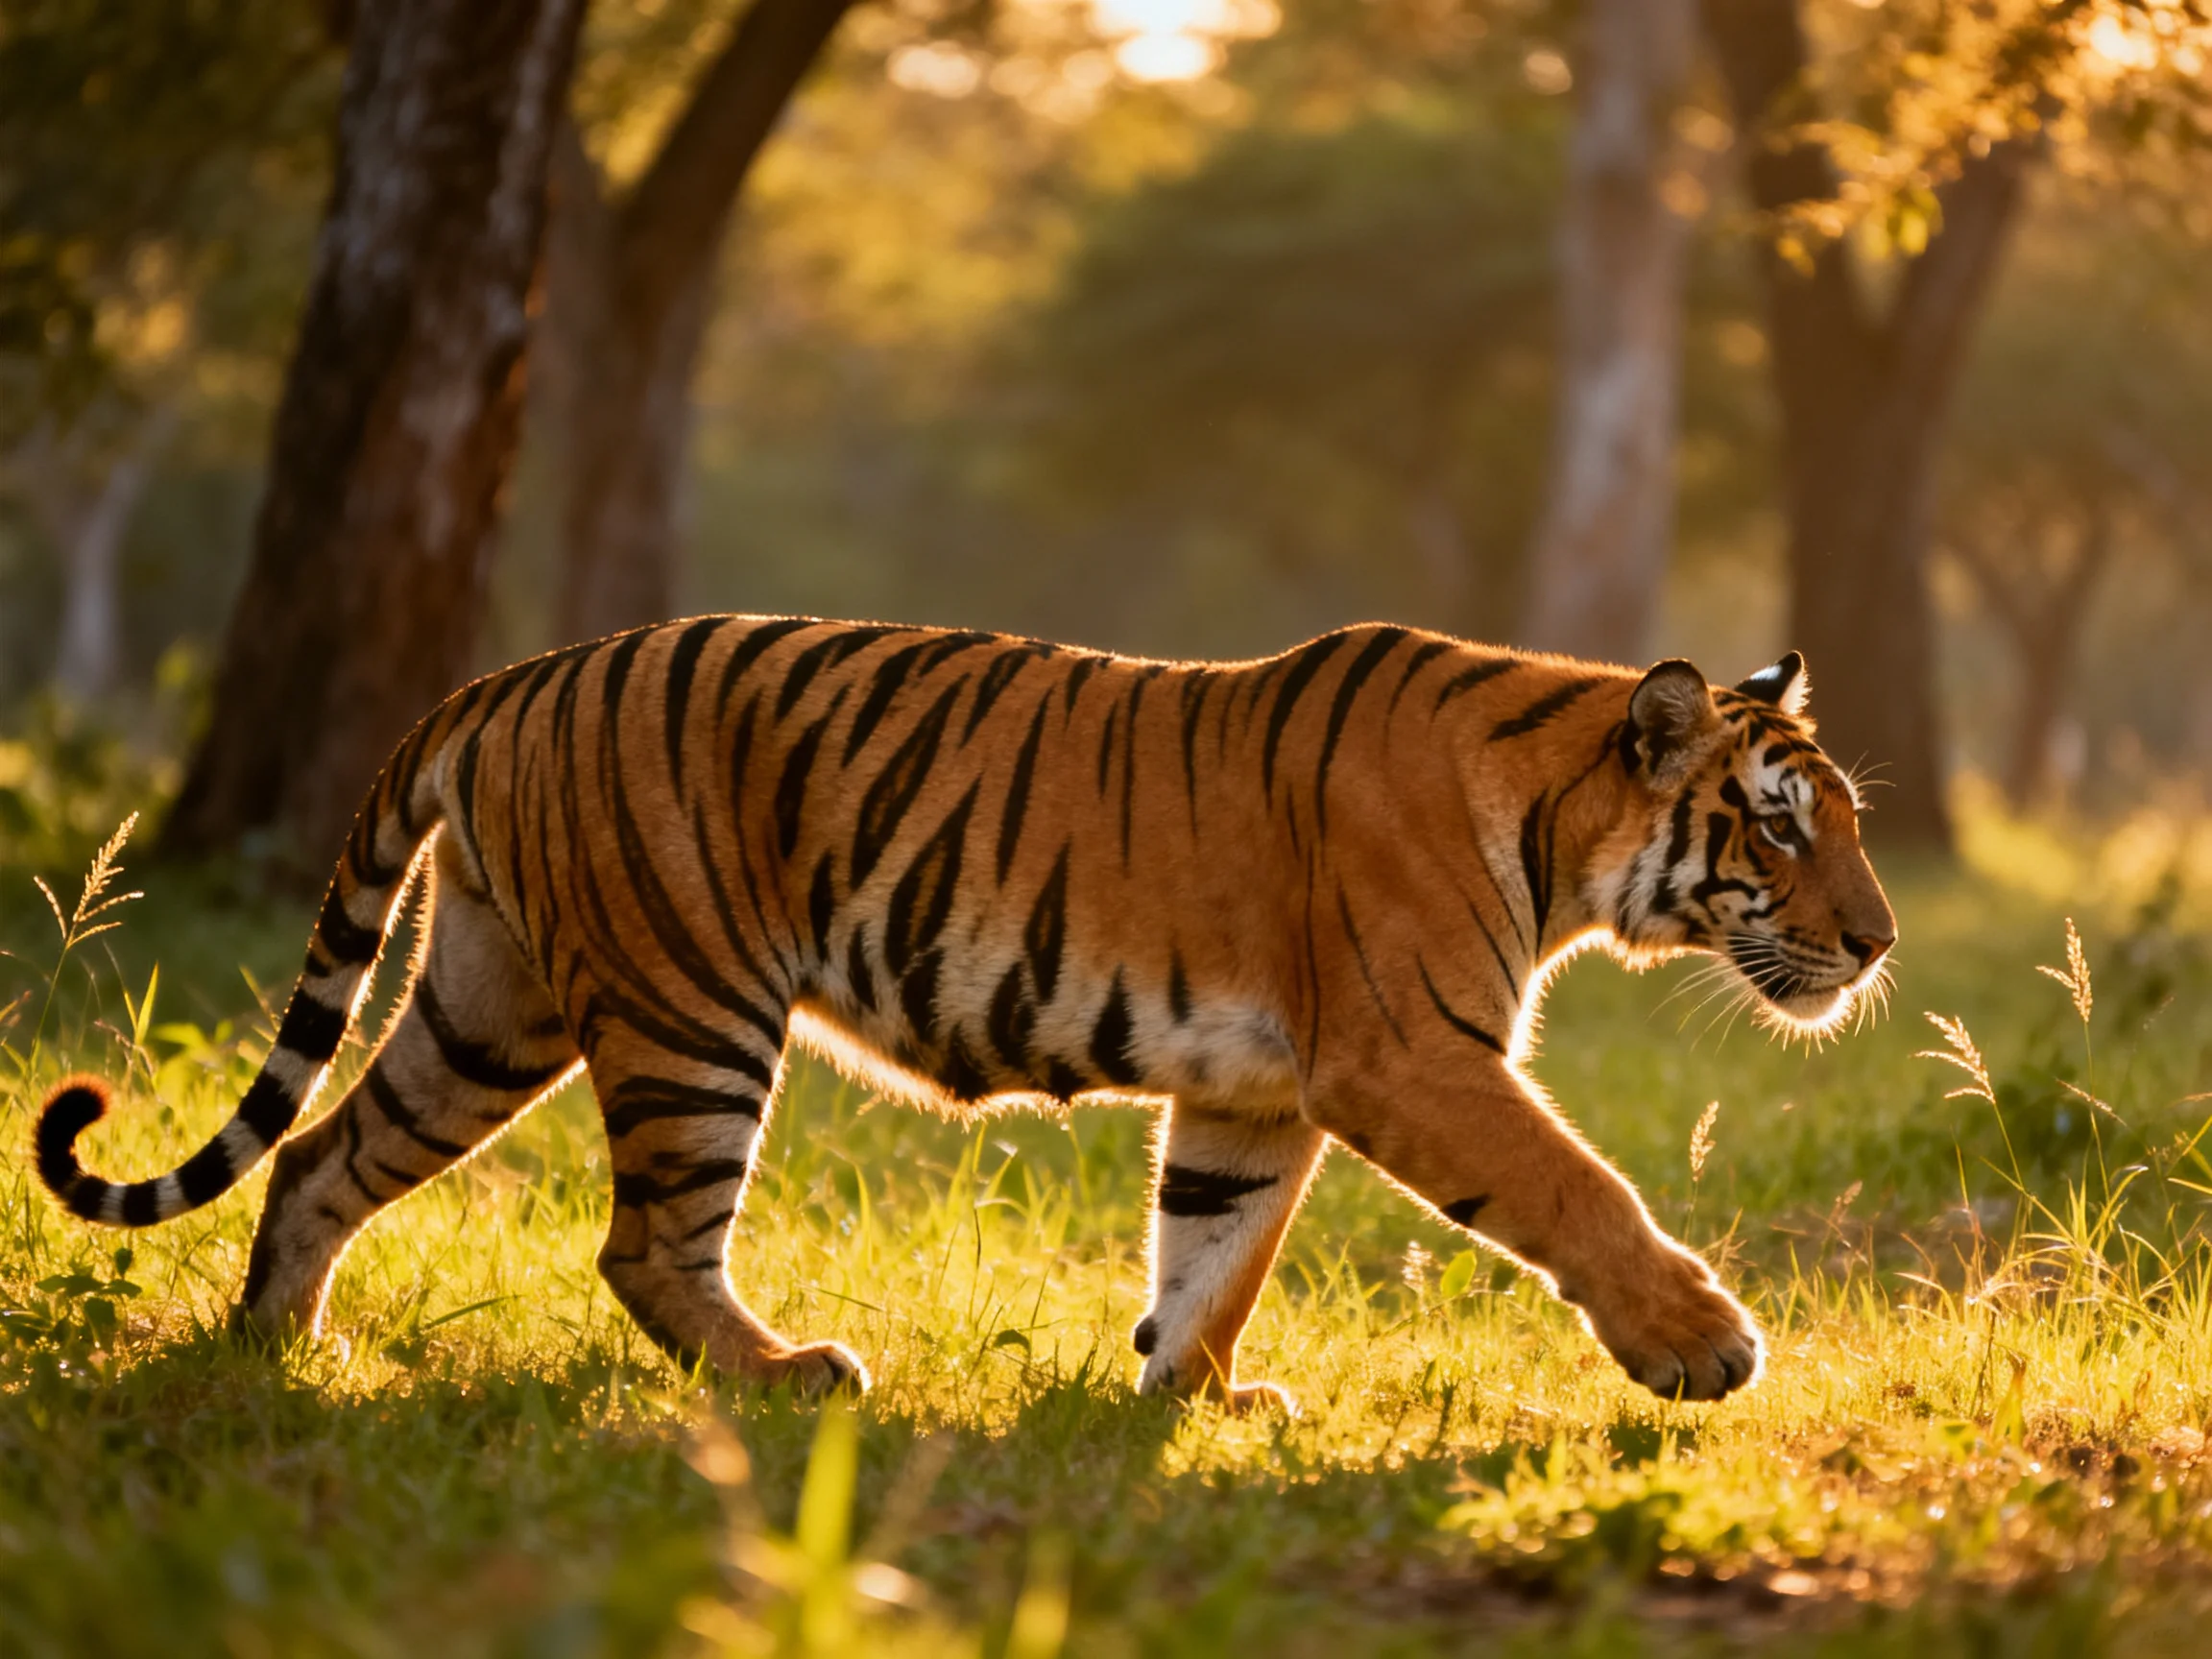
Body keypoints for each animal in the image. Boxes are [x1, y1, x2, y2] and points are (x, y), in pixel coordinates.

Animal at [35, 617, 1895, 1408]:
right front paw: (1701, 1345)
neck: (1561, 818)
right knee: (643, 1244)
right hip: (690, 1009)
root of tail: (510, 674)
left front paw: (1191, 1399)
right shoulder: (1406, 1057)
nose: (1878, 946)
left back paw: (279, 1356)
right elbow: (1581, 1189)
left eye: (1846, 820)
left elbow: (1212, 1251)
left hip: (487, 1006)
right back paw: (792, 1377)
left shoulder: (1257, 1090)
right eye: (1778, 827)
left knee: (322, 1153)